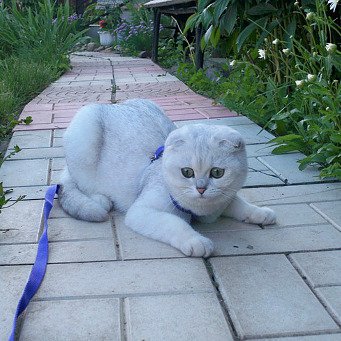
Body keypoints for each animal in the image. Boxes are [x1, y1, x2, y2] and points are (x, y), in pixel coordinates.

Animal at [58, 99, 274, 256]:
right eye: (187, 172)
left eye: (217, 173)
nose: (201, 188)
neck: (201, 211)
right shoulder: (142, 211)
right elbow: (174, 223)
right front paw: (196, 240)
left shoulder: (222, 201)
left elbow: (239, 203)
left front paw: (260, 213)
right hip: (85, 133)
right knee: (81, 183)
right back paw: (100, 199)